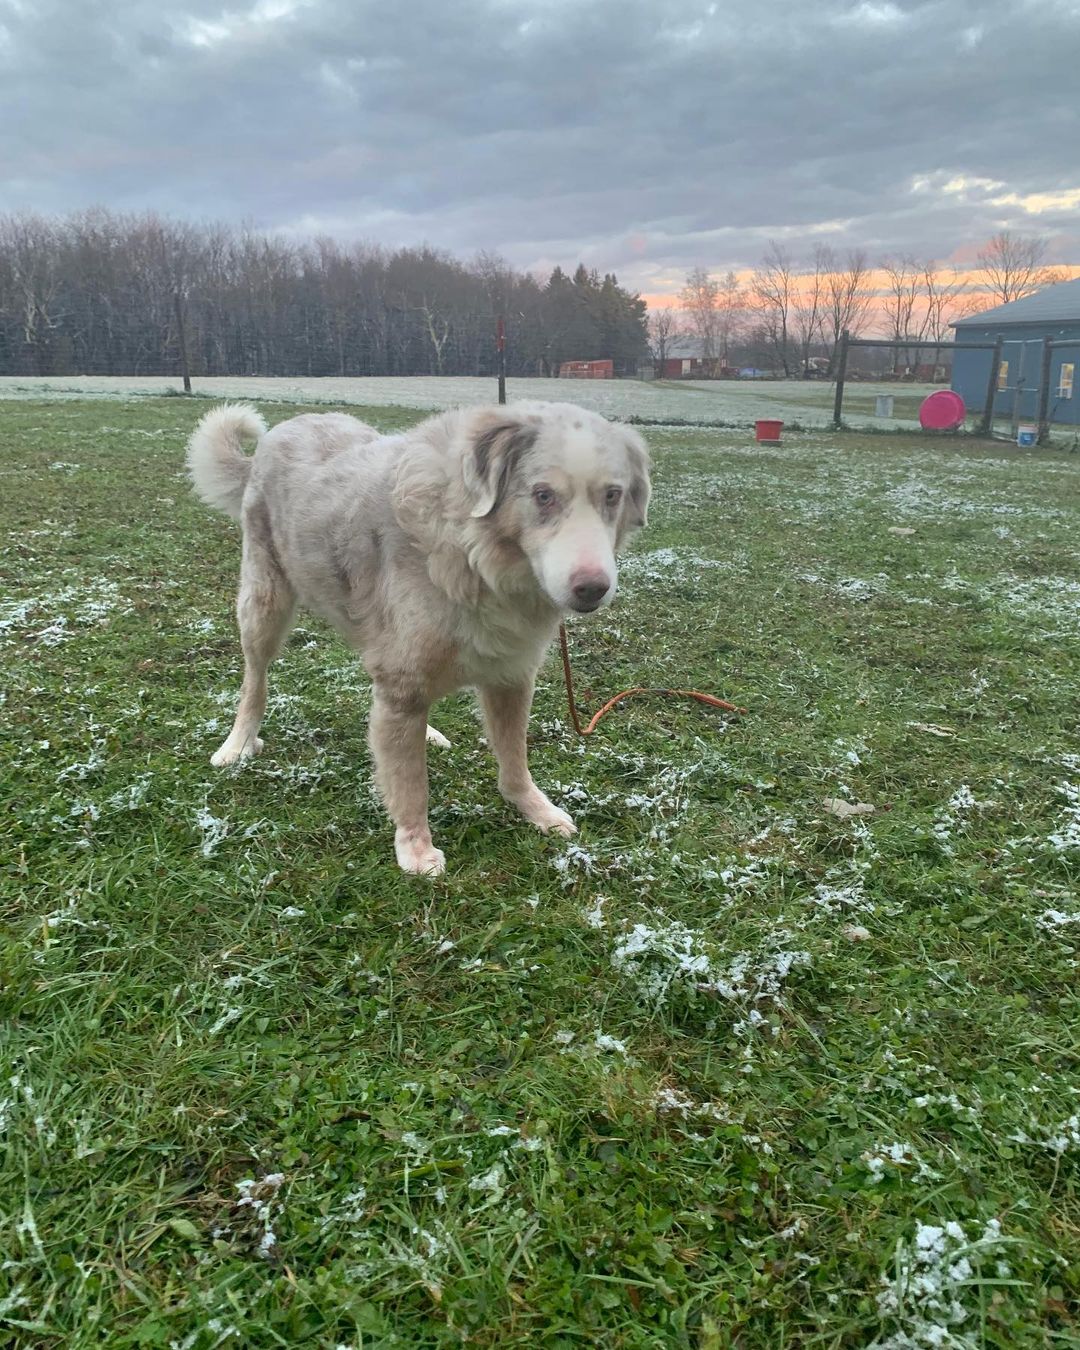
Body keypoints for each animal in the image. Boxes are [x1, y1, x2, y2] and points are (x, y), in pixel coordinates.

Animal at [186, 396, 650, 874]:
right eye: (543, 495)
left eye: (612, 495)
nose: (593, 588)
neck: (475, 556)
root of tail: (286, 428)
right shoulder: (403, 683)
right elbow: (410, 782)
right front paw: (415, 848)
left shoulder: (510, 678)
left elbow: (514, 761)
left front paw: (535, 810)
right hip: (264, 607)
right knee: (254, 682)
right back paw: (238, 743)